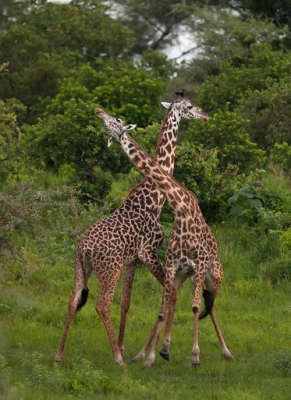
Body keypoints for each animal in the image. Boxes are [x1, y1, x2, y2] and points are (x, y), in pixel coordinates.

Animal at [55, 91, 210, 366]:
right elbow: (170, 295)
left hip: (81, 267)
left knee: (73, 301)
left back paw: (60, 355)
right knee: (101, 304)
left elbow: (126, 303)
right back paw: (118, 359)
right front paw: (152, 351)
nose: (205, 115)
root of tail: (84, 248)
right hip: (110, 268)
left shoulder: (132, 260)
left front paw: (127, 346)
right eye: (191, 106)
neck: (156, 197)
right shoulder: (147, 252)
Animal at [101, 108, 234, 368]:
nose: (98, 111)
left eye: (117, 120)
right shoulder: (155, 259)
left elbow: (188, 306)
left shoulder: (146, 256)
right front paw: (150, 354)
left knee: (209, 304)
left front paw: (190, 354)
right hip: (184, 274)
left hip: (211, 275)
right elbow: (156, 306)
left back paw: (226, 351)